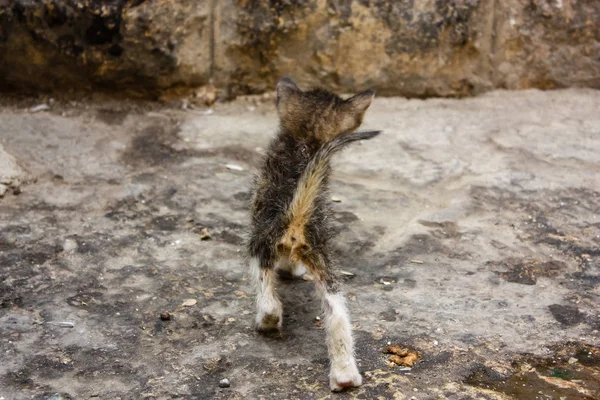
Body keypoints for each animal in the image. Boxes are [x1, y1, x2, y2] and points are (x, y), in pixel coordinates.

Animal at [247, 77, 380, 390]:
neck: (305, 144)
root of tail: (297, 216)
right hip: (321, 258)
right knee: (337, 312)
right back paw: (345, 376)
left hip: (262, 241)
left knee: (268, 298)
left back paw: (267, 321)